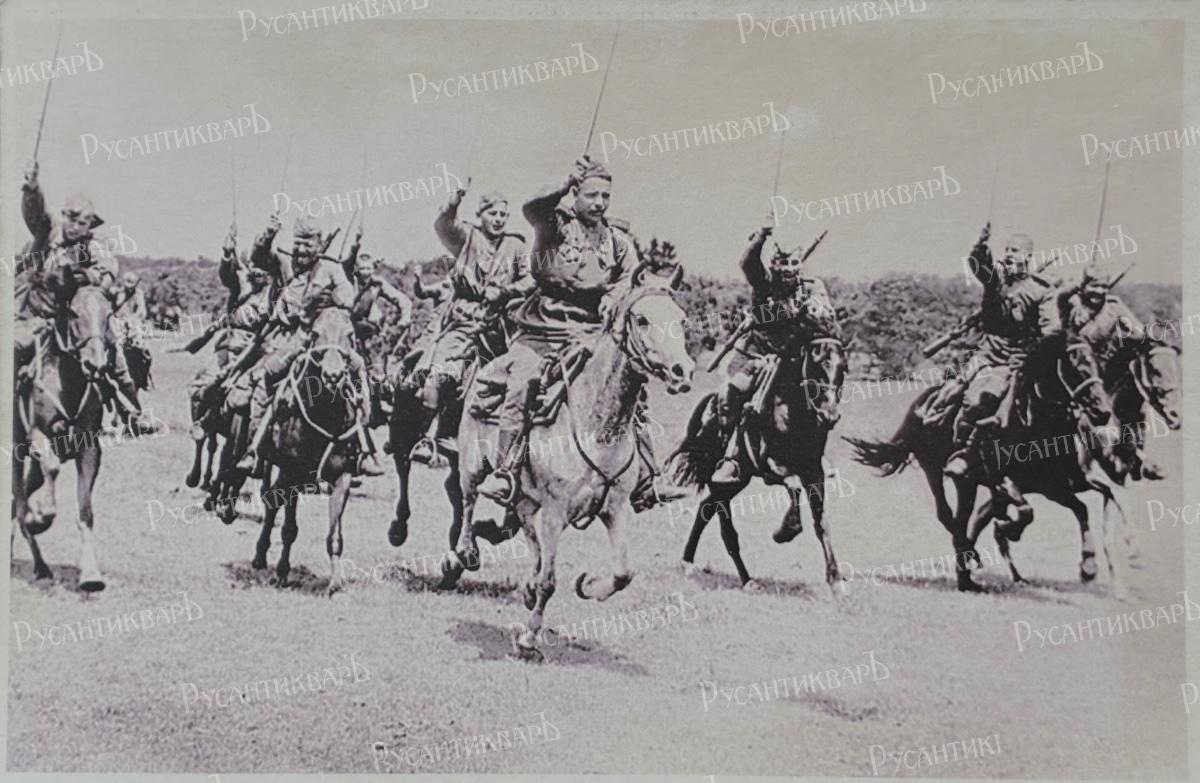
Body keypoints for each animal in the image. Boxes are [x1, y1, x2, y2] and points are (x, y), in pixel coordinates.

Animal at [12, 283, 115, 591]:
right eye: (73, 313)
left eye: (109, 314)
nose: (96, 364)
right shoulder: (36, 434)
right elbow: (53, 468)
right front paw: (40, 517)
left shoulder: (89, 449)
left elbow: (85, 512)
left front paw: (90, 573)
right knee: (17, 500)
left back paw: (38, 564)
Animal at [250, 306, 365, 594]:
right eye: (314, 334)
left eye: (350, 335)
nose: (333, 376)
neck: (324, 416)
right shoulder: (291, 473)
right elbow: (288, 527)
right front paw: (281, 572)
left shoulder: (342, 476)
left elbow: (335, 534)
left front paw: (335, 584)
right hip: (275, 467)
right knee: (271, 500)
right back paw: (260, 557)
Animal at [452, 279, 694, 658]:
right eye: (641, 319)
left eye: (682, 320)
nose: (682, 371)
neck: (598, 425)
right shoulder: (555, 512)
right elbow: (550, 582)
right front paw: (529, 639)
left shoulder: (616, 508)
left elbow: (623, 573)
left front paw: (588, 586)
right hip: (473, 463)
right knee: (469, 499)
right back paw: (467, 552)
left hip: (526, 496)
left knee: (526, 527)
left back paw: (527, 583)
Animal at [670, 337, 848, 591]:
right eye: (818, 365)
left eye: (843, 369)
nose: (830, 415)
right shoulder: (772, 467)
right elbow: (794, 486)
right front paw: (784, 532)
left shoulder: (814, 472)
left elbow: (821, 521)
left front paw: (836, 581)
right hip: (724, 479)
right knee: (724, 524)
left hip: (738, 480)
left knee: (707, 508)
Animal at [846, 340, 1125, 594]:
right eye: (1074, 367)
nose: (1102, 411)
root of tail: (925, 399)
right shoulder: (1006, 481)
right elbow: (1026, 511)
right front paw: (1007, 530)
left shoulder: (1053, 486)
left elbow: (1080, 509)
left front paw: (1089, 567)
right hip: (935, 470)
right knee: (948, 515)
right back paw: (971, 559)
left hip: (968, 483)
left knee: (964, 518)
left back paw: (969, 574)